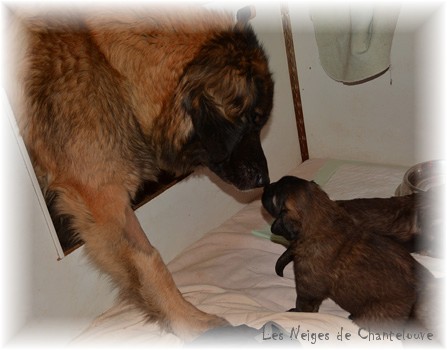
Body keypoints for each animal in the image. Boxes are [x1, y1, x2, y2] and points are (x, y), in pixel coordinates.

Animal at [6, 4, 272, 340]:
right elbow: (150, 262)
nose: (266, 179)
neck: (112, 69)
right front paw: (193, 323)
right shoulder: (102, 203)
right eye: (252, 121)